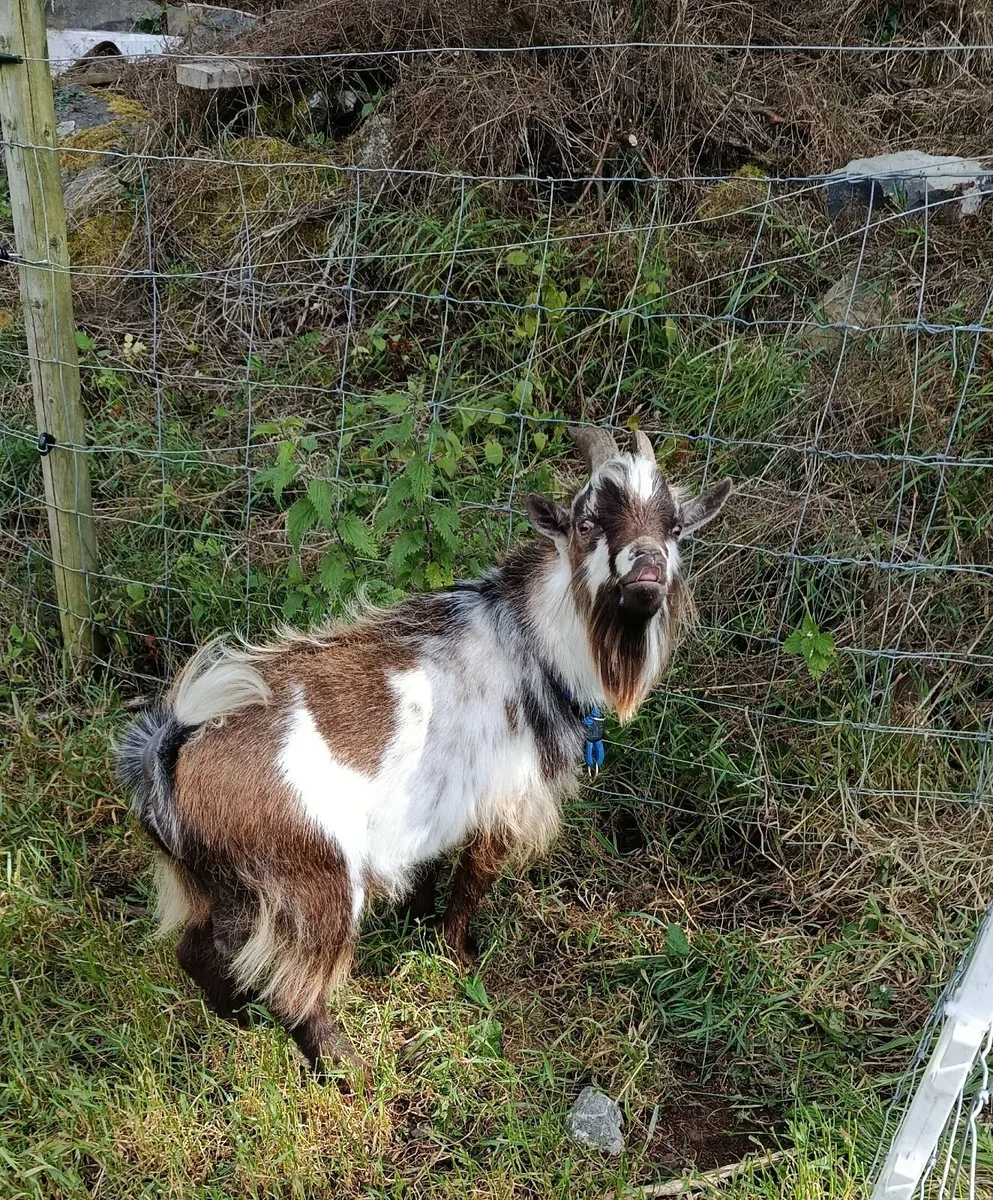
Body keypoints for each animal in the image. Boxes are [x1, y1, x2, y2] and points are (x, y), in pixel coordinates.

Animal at [117, 426, 731, 1078]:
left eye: (673, 526)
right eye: (588, 521)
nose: (647, 568)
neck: (533, 644)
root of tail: (169, 759)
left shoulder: (435, 809)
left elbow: (431, 870)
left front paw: (419, 923)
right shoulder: (502, 802)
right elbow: (471, 884)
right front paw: (459, 958)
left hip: (220, 883)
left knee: (197, 951)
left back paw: (237, 1017)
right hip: (316, 880)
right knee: (294, 990)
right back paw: (347, 1068)